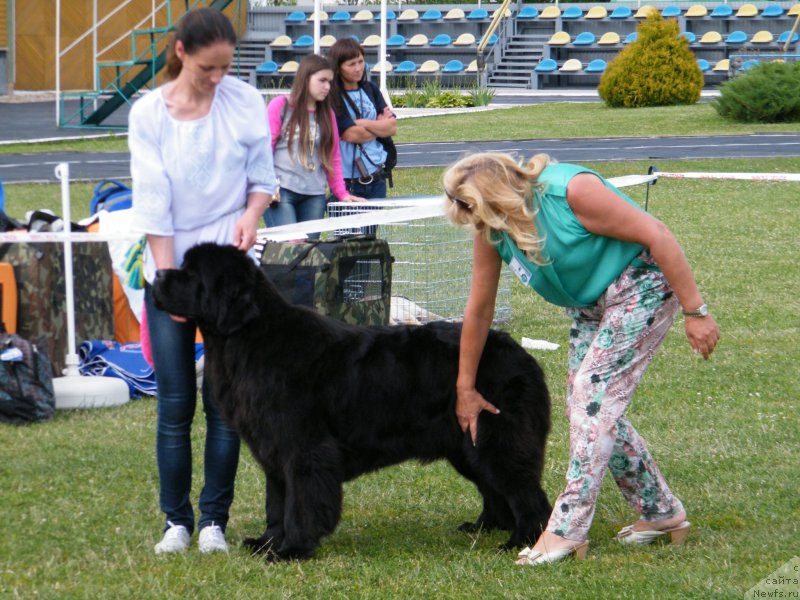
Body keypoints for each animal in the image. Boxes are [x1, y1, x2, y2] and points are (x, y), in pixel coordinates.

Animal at [152, 241, 552, 560]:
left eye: (190, 274)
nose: (155, 278)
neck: (248, 337)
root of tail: (520, 354)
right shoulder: (273, 450)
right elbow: (276, 503)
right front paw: (266, 542)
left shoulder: (304, 450)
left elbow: (299, 503)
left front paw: (291, 549)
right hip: (465, 445)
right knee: (494, 490)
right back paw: (485, 526)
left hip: (495, 441)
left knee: (525, 493)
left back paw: (520, 541)